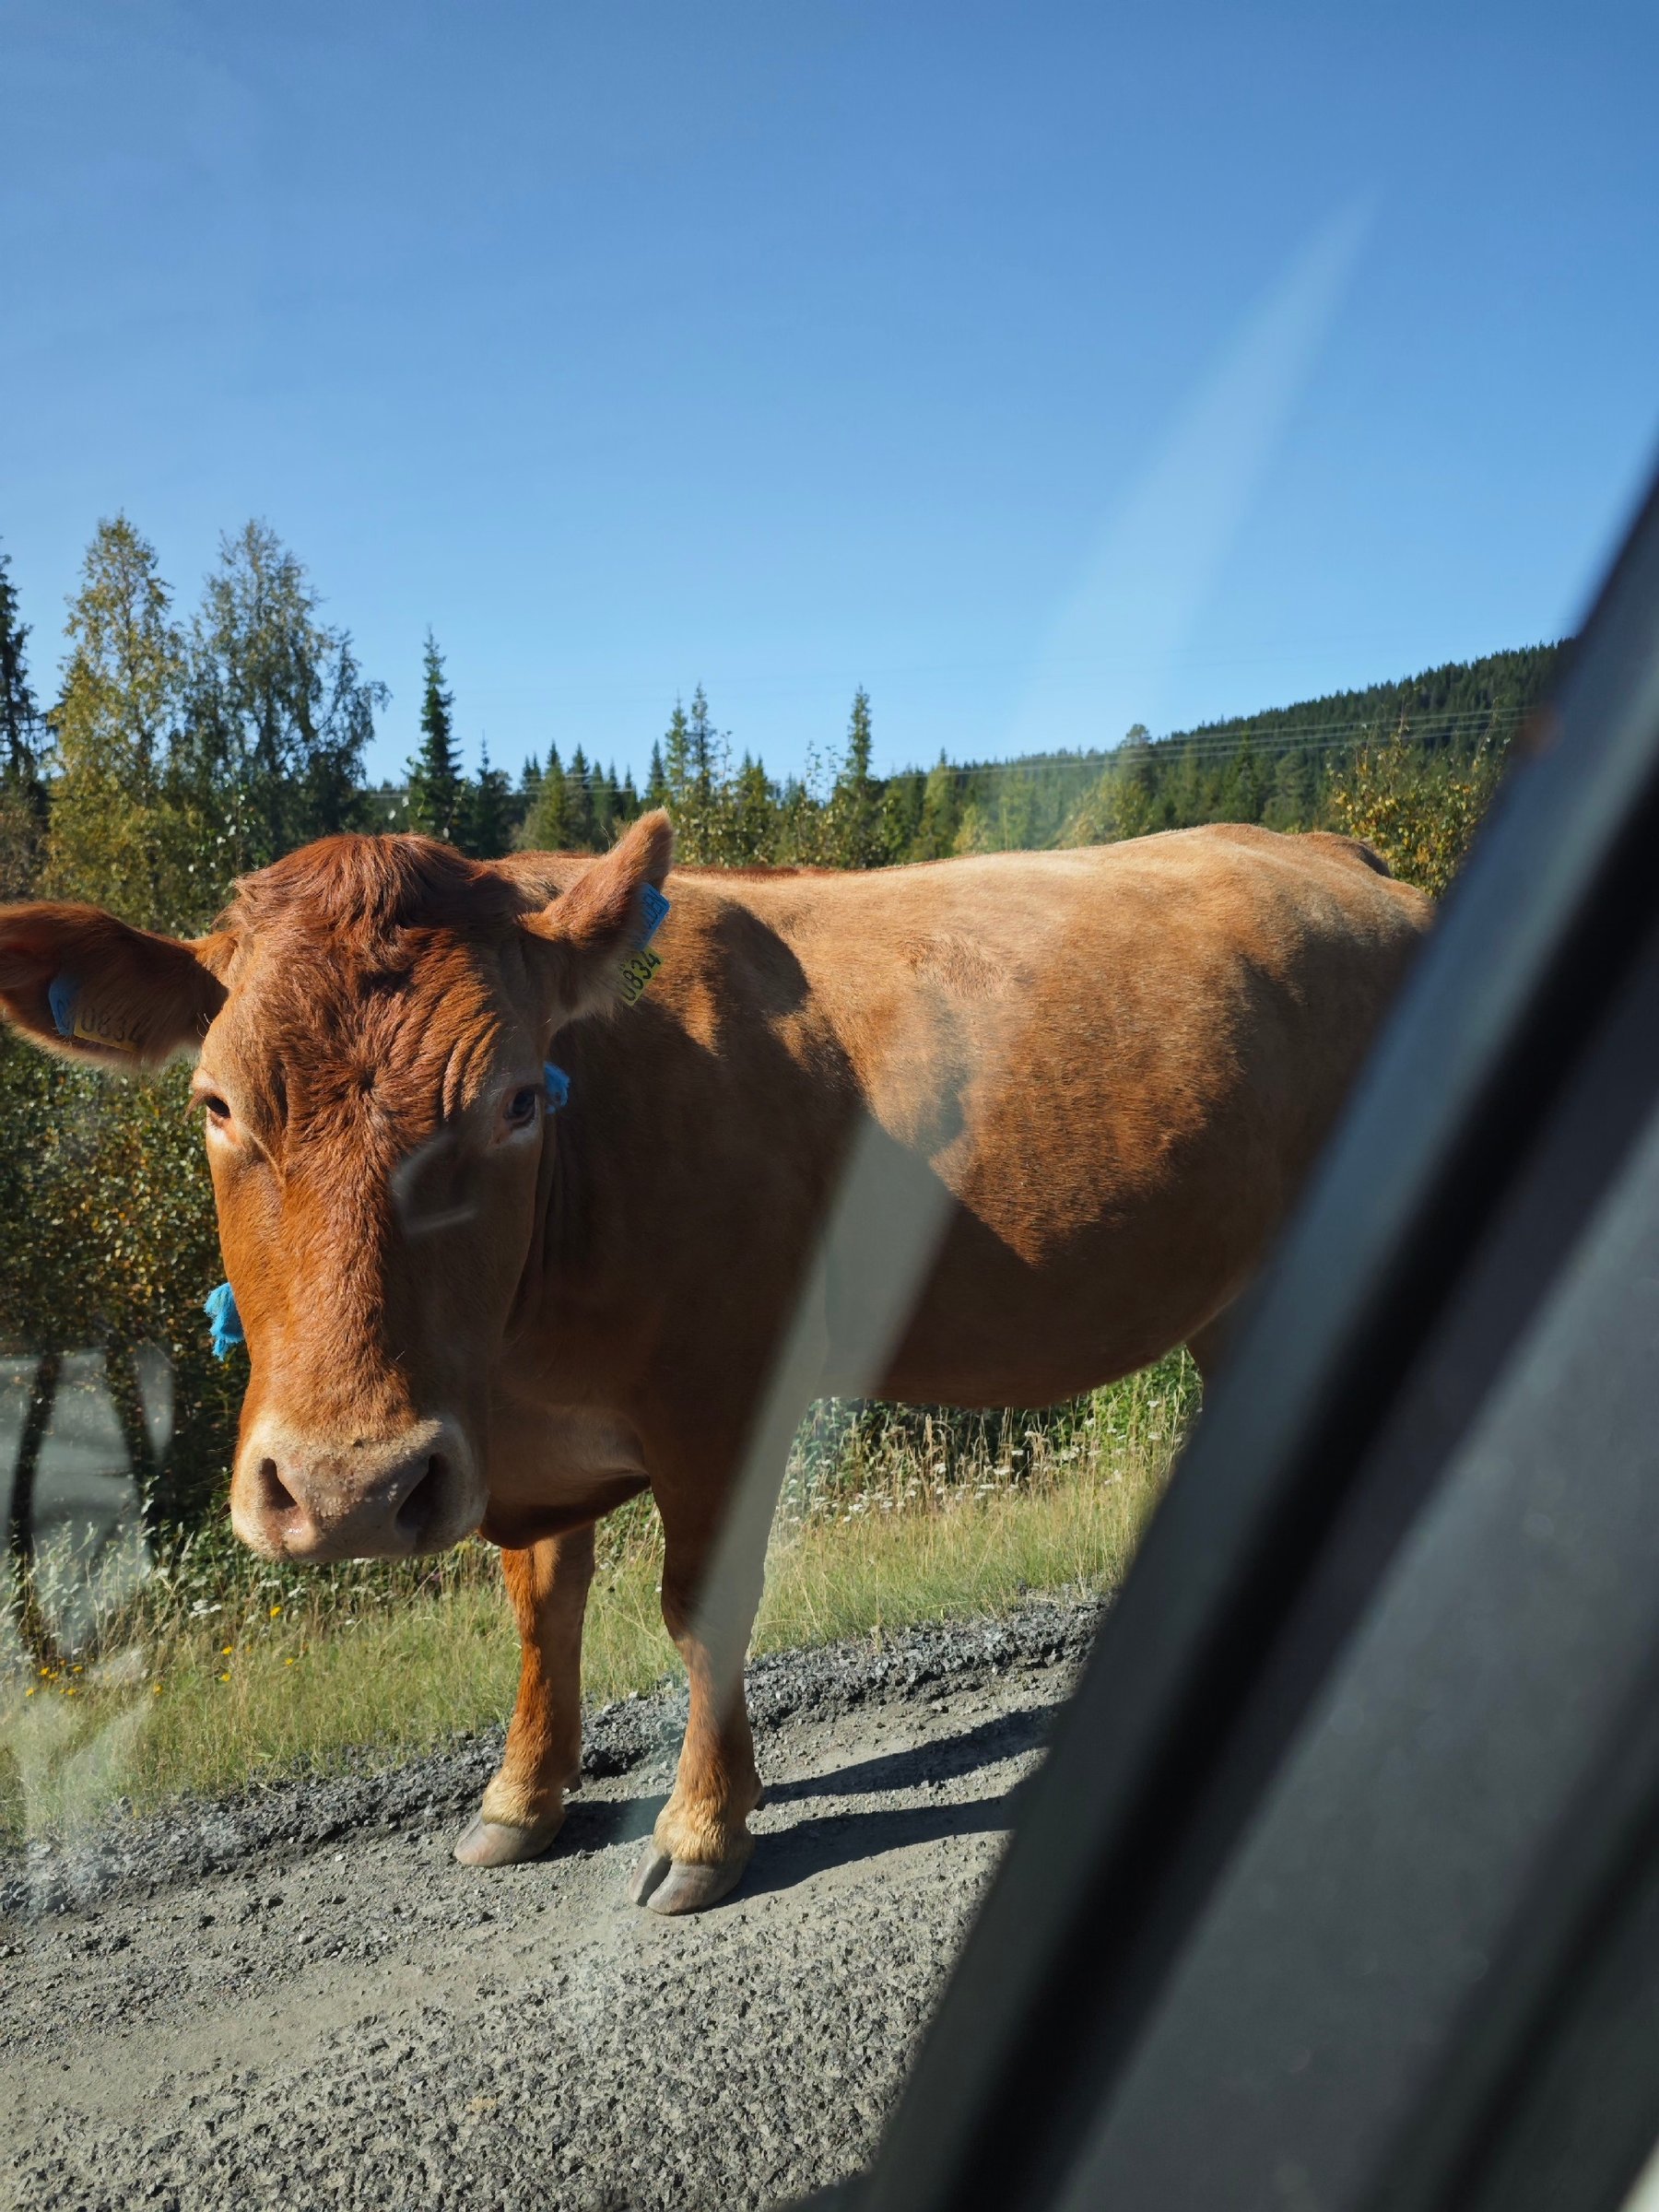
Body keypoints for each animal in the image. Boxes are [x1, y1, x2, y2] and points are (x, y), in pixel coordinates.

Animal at [0, 817, 1432, 1912]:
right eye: (216, 1104)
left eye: (515, 1100)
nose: (348, 1490)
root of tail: (1343, 859)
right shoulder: (510, 1440)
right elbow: (543, 1609)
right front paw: (521, 1797)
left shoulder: (722, 1398)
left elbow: (700, 1609)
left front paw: (704, 1831)